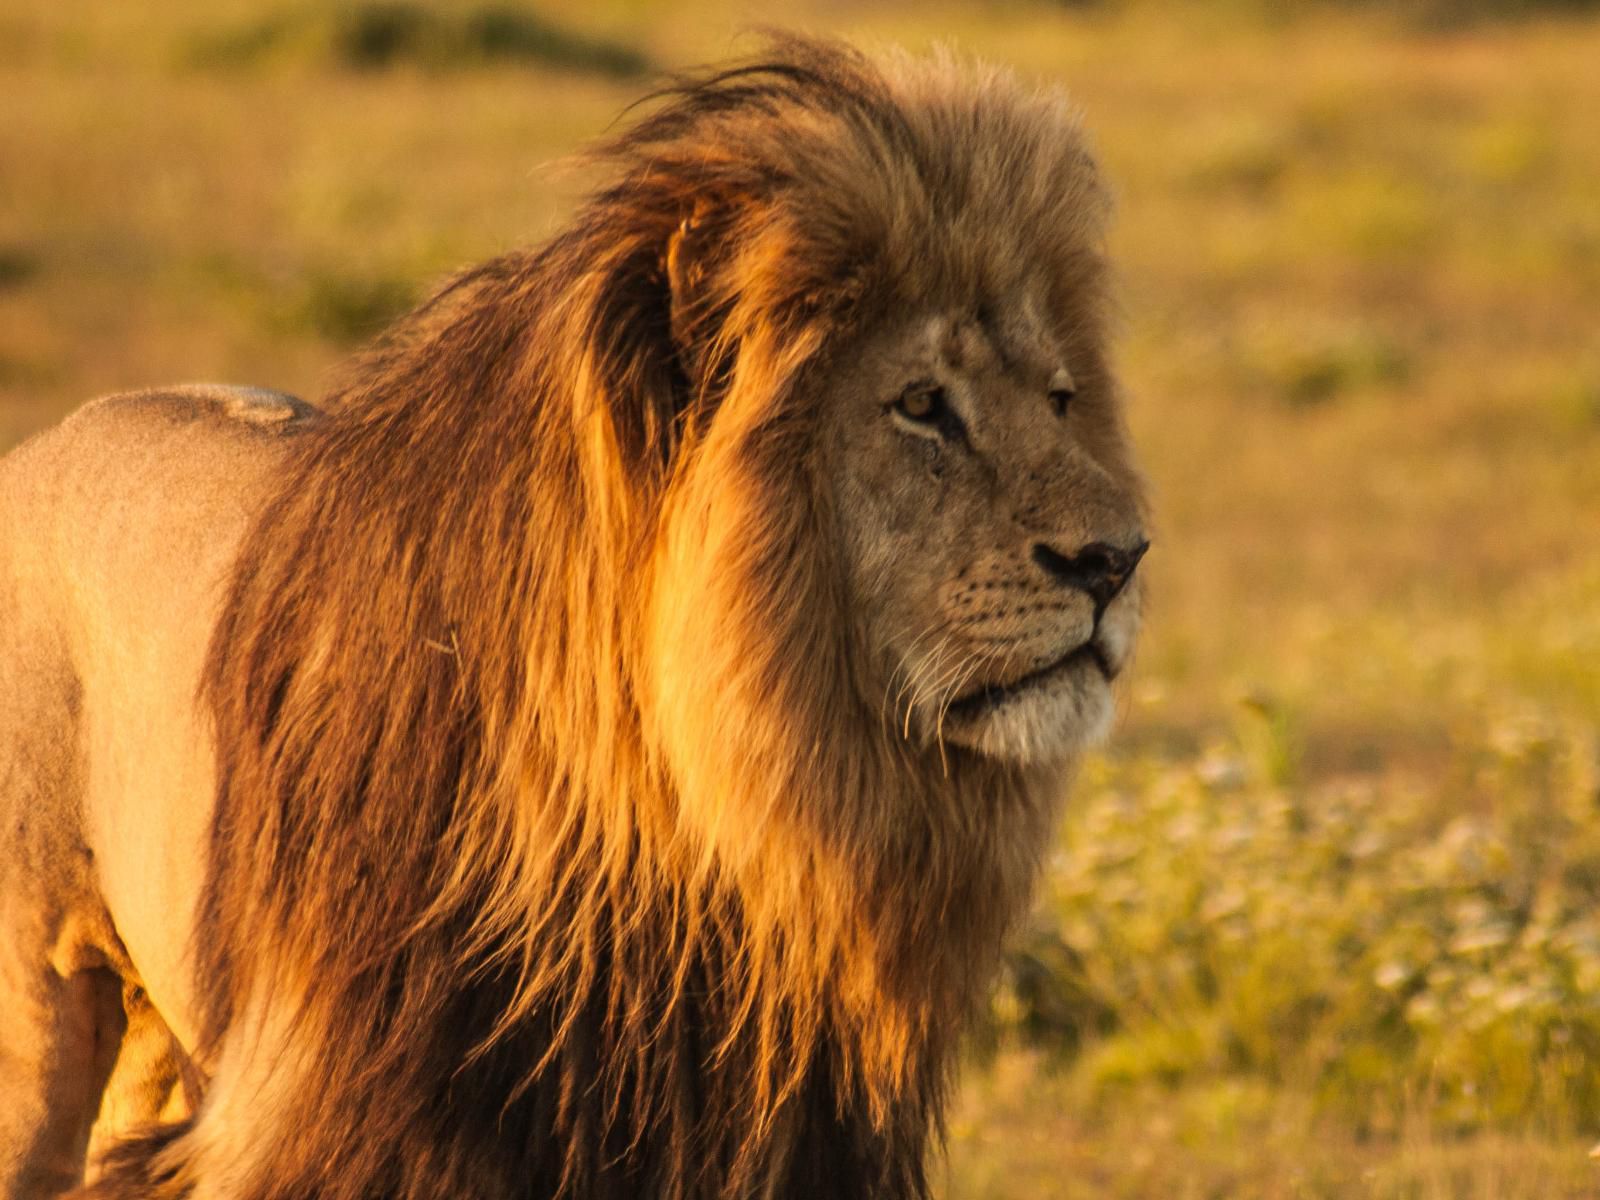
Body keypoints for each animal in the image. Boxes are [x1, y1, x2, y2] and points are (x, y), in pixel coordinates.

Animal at [0, 35, 1152, 1200]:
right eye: (921, 405)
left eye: (1060, 401)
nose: (1117, 559)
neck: (687, 856)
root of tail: (55, 436)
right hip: (37, 1017)